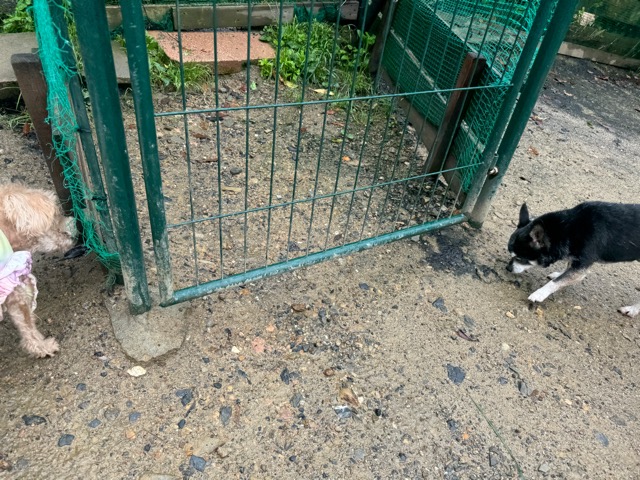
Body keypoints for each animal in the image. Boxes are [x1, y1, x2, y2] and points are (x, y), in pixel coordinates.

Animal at [506, 202, 640, 317]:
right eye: (511, 255)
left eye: (520, 258)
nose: (507, 268)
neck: (569, 228)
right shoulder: (574, 258)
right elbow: (566, 270)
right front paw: (559, 274)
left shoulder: (580, 268)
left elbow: (556, 282)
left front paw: (539, 293)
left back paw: (631, 309)